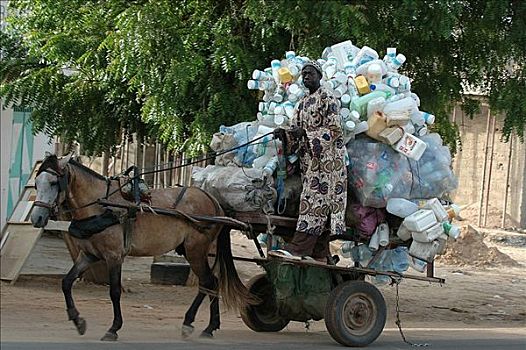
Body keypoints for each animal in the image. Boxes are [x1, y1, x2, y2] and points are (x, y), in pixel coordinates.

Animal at [29, 153, 256, 340]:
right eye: (36, 183)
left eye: (53, 182)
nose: (36, 218)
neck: (101, 206)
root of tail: (215, 202)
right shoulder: (89, 254)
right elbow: (66, 282)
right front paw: (77, 320)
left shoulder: (114, 256)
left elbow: (114, 292)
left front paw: (113, 329)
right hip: (192, 250)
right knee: (208, 283)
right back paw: (197, 324)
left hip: (196, 250)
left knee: (209, 282)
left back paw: (206, 327)